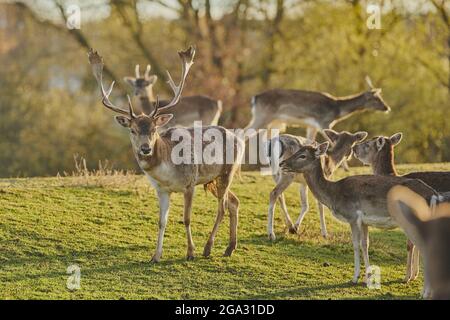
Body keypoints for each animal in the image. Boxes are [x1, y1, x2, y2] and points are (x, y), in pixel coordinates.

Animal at [89, 47, 246, 262]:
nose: (145, 148)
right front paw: (155, 256)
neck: (167, 172)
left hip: (226, 172)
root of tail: (239, 139)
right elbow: (161, 221)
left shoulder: (190, 183)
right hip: (211, 179)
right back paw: (230, 248)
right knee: (234, 202)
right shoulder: (161, 190)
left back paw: (207, 248)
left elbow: (186, 219)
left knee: (222, 208)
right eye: (133, 130)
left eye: (154, 129)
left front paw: (190, 252)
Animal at [244, 77, 388, 141]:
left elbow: (310, 142)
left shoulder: (312, 126)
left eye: (381, 97)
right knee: (243, 133)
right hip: (263, 116)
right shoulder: (323, 122)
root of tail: (254, 98)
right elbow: (331, 140)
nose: (387, 107)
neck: (337, 110)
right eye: (376, 99)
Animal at [280, 142, 438, 284]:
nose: (282, 163)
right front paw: (368, 276)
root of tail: (433, 194)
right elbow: (365, 244)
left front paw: (355, 277)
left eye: (302, 155)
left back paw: (409, 278)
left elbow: (355, 244)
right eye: (298, 150)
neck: (333, 194)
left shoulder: (352, 216)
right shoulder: (364, 221)